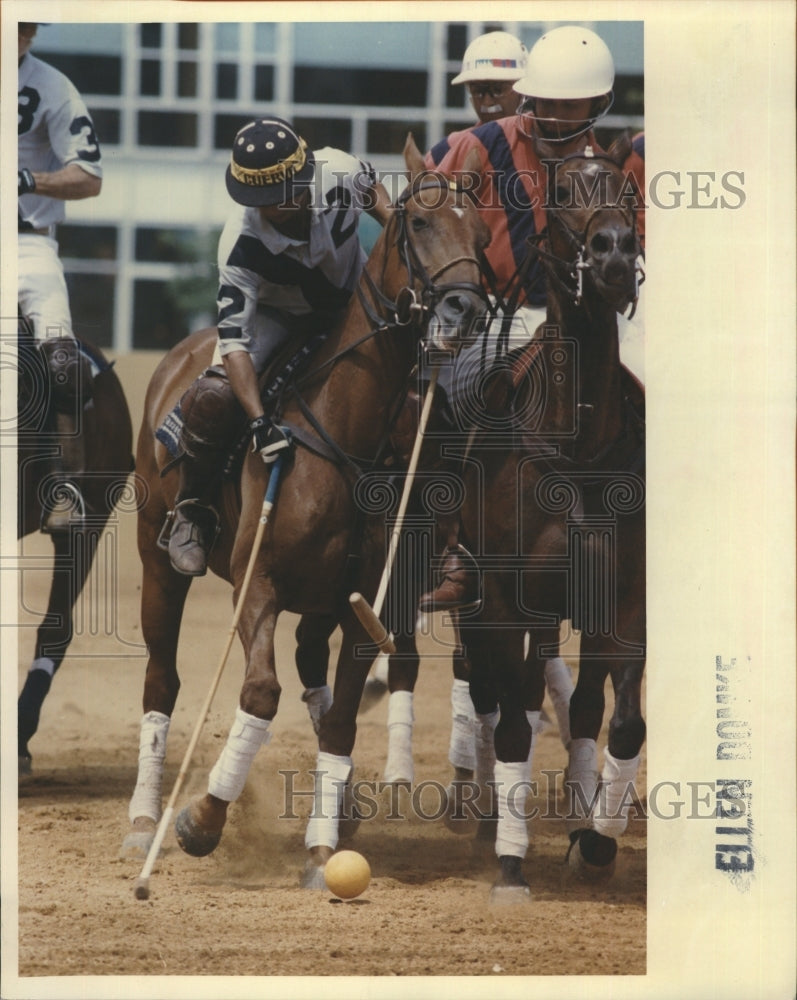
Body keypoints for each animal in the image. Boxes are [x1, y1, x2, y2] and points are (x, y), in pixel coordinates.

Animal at [120, 146, 488, 884]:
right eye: (419, 221)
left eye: (482, 231)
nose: (464, 307)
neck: (344, 432)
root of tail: (183, 349)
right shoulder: (258, 584)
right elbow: (260, 693)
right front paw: (201, 821)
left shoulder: (360, 603)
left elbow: (342, 716)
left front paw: (323, 847)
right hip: (156, 556)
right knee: (161, 678)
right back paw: (144, 820)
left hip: (322, 603)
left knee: (312, 669)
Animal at [450, 137, 644, 904]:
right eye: (561, 192)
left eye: (625, 188)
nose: (615, 251)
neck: (578, 445)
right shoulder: (507, 598)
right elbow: (510, 724)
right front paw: (510, 865)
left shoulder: (620, 599)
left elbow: (622, 721)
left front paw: (595, 841)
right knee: (496, 694)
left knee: (579, 705)